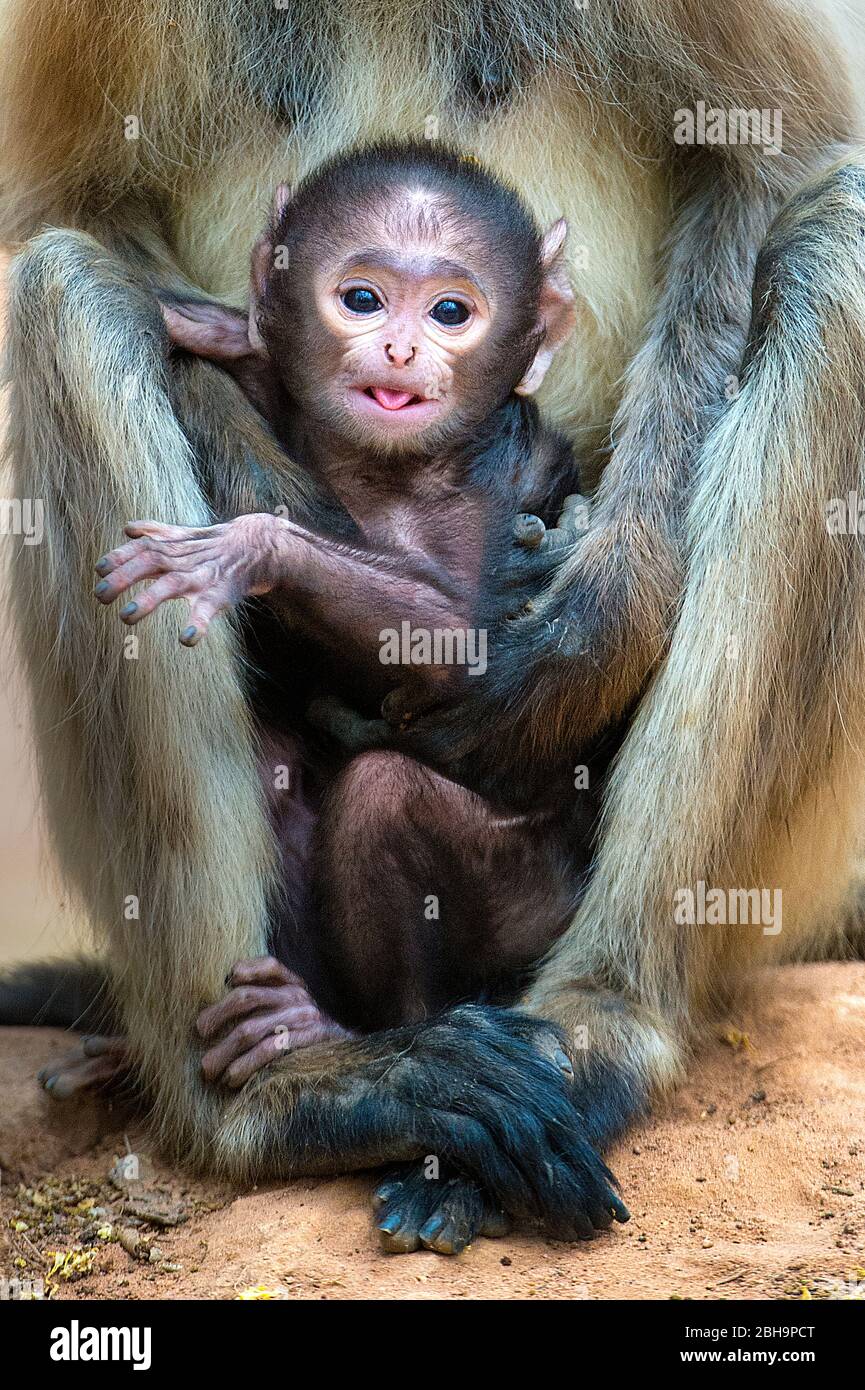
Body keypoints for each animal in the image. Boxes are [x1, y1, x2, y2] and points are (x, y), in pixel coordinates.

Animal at [94, 141, 595, 1073]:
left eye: (450, 312)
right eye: (360, 299)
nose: (398, 350)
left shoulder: (476, 485)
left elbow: (460, 646)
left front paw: (248, 547)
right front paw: (223, 335)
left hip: (533, 908)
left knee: (383, 794)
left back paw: (358, 1029)